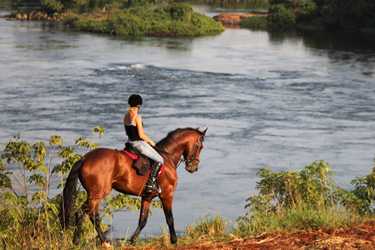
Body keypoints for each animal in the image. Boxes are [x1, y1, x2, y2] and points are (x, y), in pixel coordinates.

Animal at [58, 127, 209, 246]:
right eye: (200, 147)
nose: (193, 168)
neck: (167, 157)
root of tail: (84, 159)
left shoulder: (147, 197)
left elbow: (143, 220)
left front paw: (132, 241)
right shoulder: (167, 194)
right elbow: (170, 219)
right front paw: (174, 241)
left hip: (94, 194)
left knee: (93, 216)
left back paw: (105, 242)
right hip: (97, 194)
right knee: (81, 213)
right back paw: (76, 242)